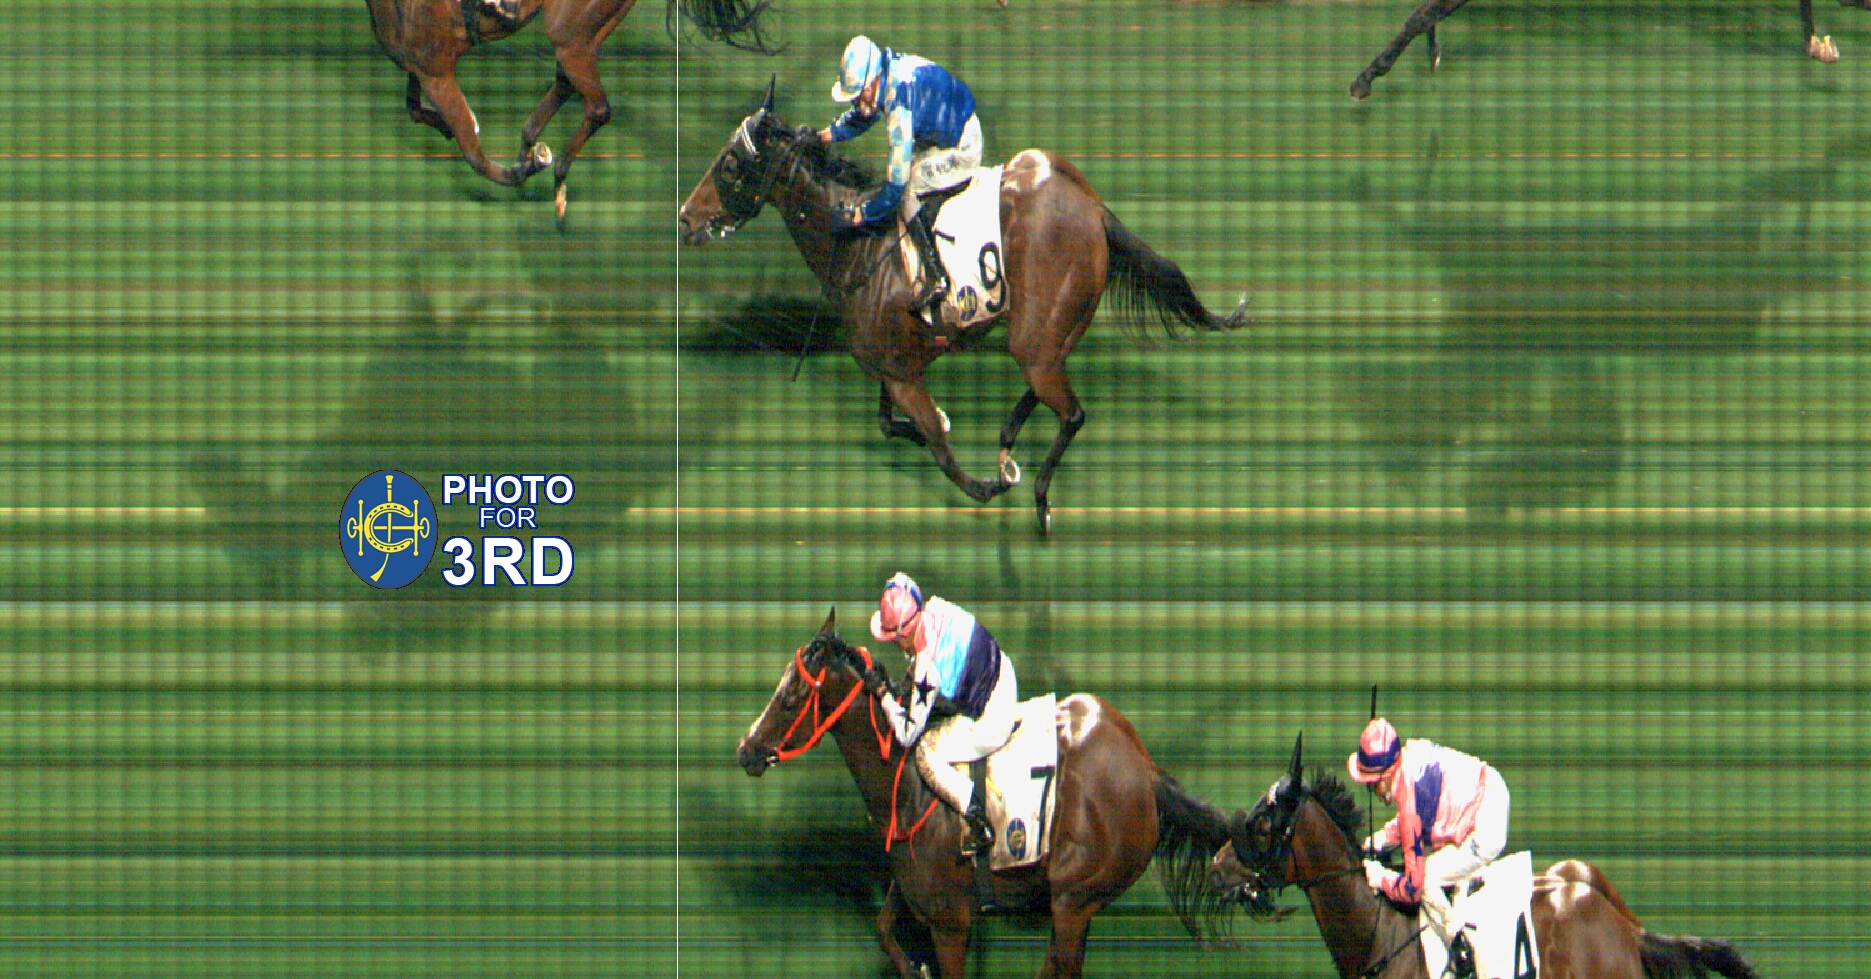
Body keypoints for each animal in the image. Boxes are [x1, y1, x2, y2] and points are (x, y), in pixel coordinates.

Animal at [365, 0, 773, 219]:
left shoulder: (437, 72)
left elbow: (473, 153)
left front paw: (523, 170)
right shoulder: (419, 66)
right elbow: (415, 109)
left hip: (568, 32)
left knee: (598, 106)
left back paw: (555, 172)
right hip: (582, 33)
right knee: (567, 83)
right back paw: (532, 144)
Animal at [679, 81, 1248, 534]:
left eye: (730, 163)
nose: (684, 218)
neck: (859, 246)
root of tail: (1094, 209)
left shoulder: (902, 374)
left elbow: (940, 450)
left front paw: (985, 482)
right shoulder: (892, 365)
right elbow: (892, 424)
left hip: (1033, 339)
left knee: (1072, 411)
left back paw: (1036, 492)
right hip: (1054, 328)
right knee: (1050, 389)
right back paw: (1010, 436)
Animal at [736, 609, 1236, 979]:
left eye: (790, 699)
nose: (746, 750)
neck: (908, 791)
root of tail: (1144, 772)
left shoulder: (951, 922)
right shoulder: (915, 890)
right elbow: (883, 928)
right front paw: (914, 967)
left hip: (1074, 898)